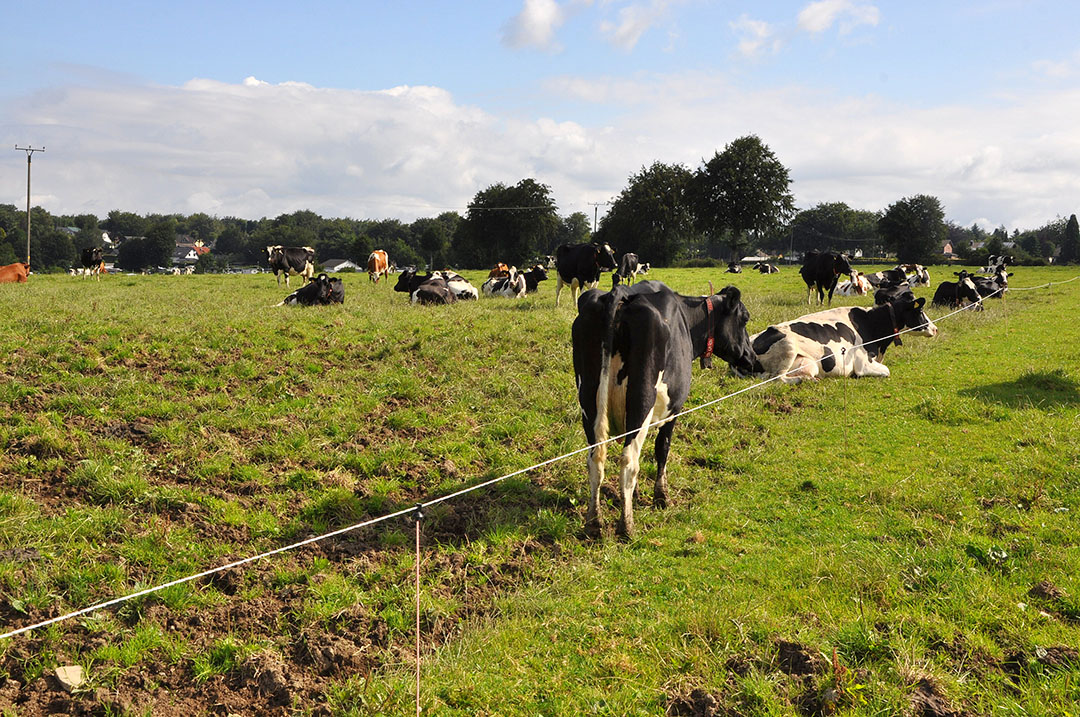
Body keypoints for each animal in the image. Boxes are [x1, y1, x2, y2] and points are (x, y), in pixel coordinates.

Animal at [574, 280, 760, 537]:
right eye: (745, 318)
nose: (754, 359)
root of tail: (619, 293)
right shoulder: (675, 409)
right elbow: (662, 448)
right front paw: (661, 497)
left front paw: (637, 495)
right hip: (642, 399)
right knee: (628, 460)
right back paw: (627, 526)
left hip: (589, 401)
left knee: (595, 458)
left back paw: (594, 522)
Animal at [751, 295, 937, 386]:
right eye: (921, 312)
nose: (935, 329)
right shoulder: (864, 363)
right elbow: (886, 371)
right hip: (787, 347)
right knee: (775, 378)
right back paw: (801, 381)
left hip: (808, 364)